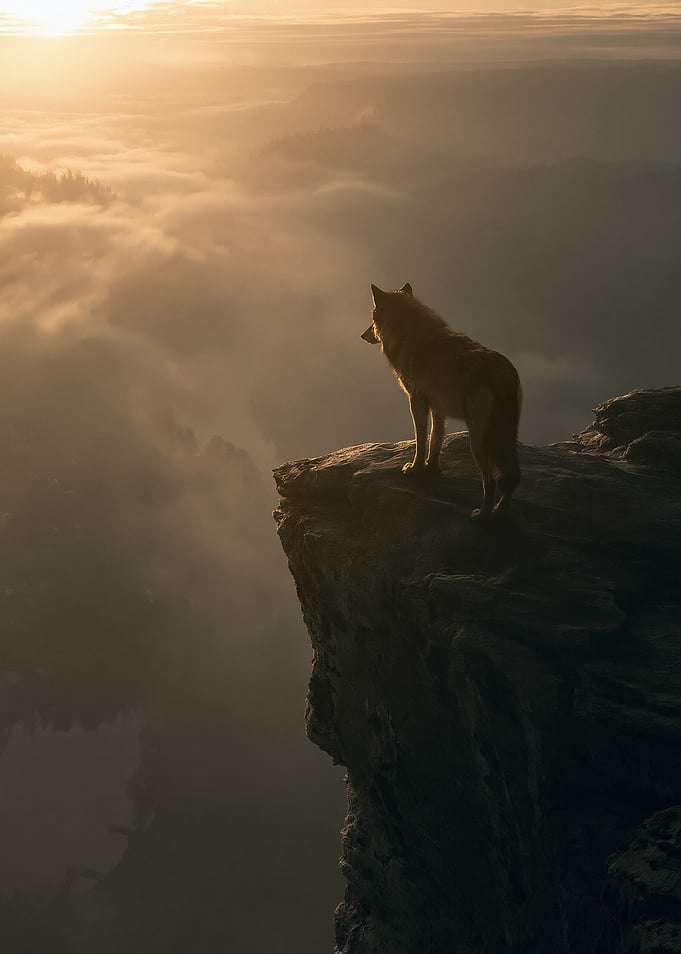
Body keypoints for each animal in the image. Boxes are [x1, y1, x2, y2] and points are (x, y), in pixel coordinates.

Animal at [361, 283, 522, 521]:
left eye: (372, 319)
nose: (363, 335)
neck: (408, 333)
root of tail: (503, 374)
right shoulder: (438, 408)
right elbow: (435, 440)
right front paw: (432, 468)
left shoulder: (417, 401)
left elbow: (421, 440)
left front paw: (415, 469)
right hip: (504, 437)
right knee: (511, 477)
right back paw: (500, 513)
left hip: (478, 441)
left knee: (491, 481)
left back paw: (482, 515)